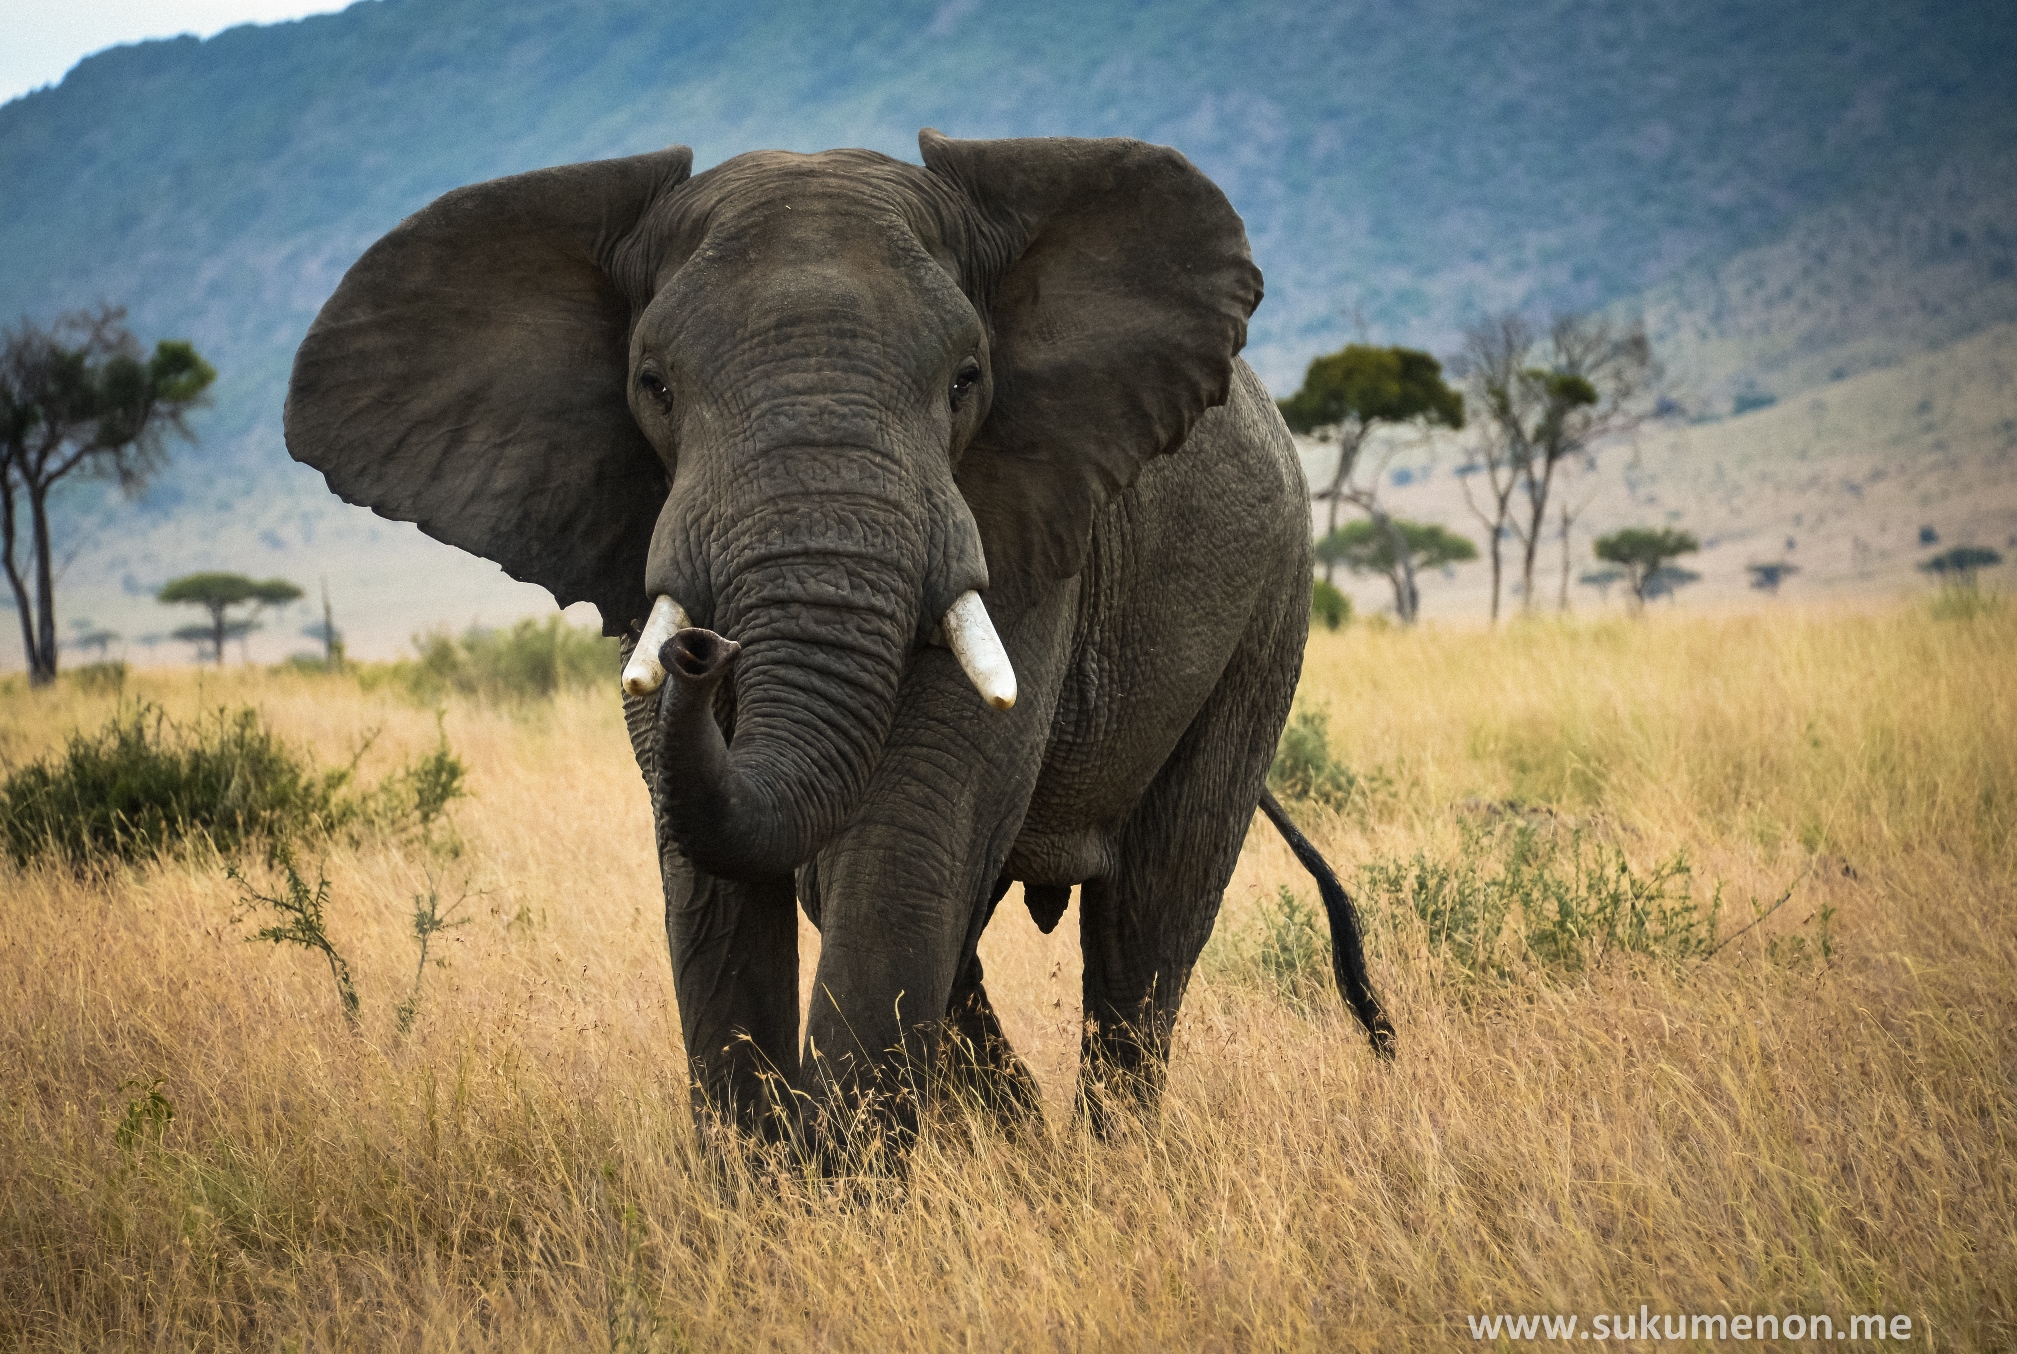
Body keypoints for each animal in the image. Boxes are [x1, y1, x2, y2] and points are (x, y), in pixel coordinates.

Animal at [284, 127, 1395, 1146]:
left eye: (965, 380)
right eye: (654, 386)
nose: (700, 654)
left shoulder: (1023, 525)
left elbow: (905, 841)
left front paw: (844, 1191)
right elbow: (713, 875)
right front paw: (763, 1200)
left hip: (1268, 609)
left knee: (1146, 920)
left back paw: (1099, 1167)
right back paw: (1022, 1149)